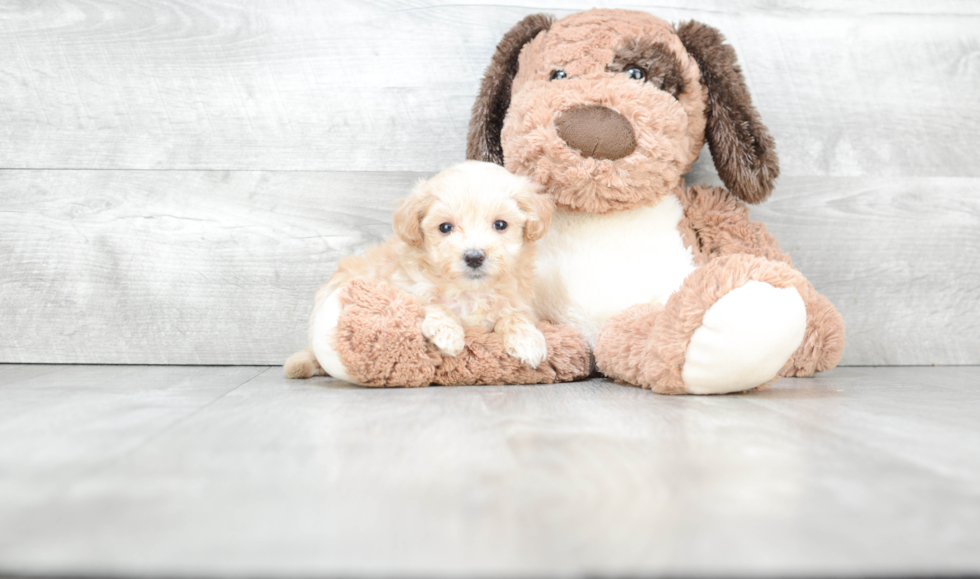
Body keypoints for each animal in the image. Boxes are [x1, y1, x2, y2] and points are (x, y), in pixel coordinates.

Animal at [288, 161, 556, 382]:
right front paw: (449, 334)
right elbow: (431, 304)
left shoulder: (517, 302)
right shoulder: (406, 290)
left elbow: (514, 316)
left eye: (500, 224)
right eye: (445, 227)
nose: (474, 257)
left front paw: (528, 341)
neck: (469, 290)